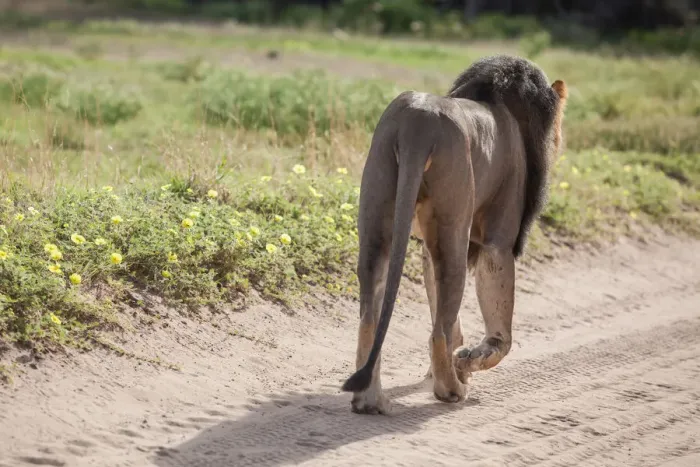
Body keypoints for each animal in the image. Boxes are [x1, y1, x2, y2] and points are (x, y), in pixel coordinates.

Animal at [340, 55, 568, 414]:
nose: (560, 139)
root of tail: (417, 119)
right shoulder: (498, 240)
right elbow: (501, 333)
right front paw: (468, 361)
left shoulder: (424, 247)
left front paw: (457, 363)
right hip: (454, 231)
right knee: (439, 332)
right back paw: (450, 390)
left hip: (378, 218)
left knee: (371, 319)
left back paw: (369, 400)